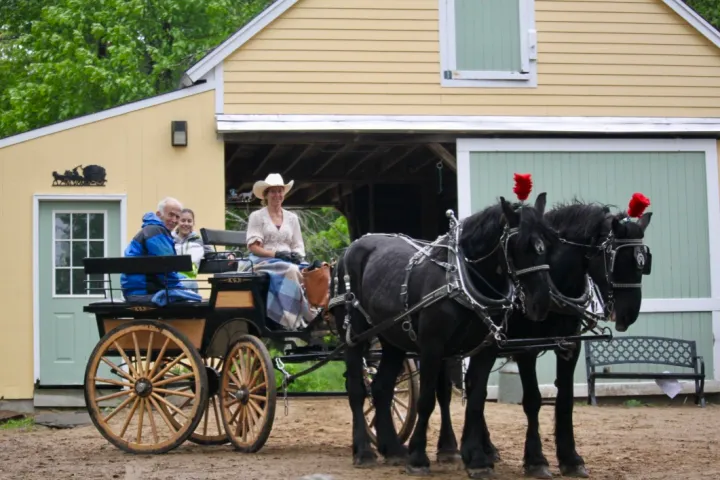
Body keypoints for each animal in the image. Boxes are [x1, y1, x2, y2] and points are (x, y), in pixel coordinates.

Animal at [329, 192, 556, 476]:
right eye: (520, 245)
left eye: (548, 243)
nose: (542, 303)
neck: (461, 279)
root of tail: (350, 249)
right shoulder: (432, 347)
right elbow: (427, 399)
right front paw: (418, 458)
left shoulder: (486, 350)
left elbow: (476, 400)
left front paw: (477, 460)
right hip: (354, 334)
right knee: (357, 390)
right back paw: (364, 451)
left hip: (392, 339)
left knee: (382, 388)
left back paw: (392, 449)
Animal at [468, 198, 653, 479]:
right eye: (616, 260)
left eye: (644, 262)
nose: (629, 314)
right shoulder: (526, 349)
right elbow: (532, 400)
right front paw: (536, 460)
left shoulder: (569, 345)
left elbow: (565, 400)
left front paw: (571, 458)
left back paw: (485, 448)